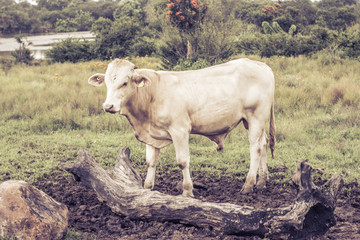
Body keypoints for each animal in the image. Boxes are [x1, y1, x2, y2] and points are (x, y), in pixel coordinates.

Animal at [87, 58, 276, 197]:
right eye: (106, 82)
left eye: (125, 83)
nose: (108, 106)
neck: (151, 95)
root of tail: (261, 65)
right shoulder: (151, 134)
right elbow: (150, 161)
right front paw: (147, 187)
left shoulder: (180, 130)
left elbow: (182, 161)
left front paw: (187, 191)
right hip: (253, 122)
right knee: (264, 144)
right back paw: (262, 181)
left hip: (256, 117)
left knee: (255, 148)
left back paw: (248, 185)